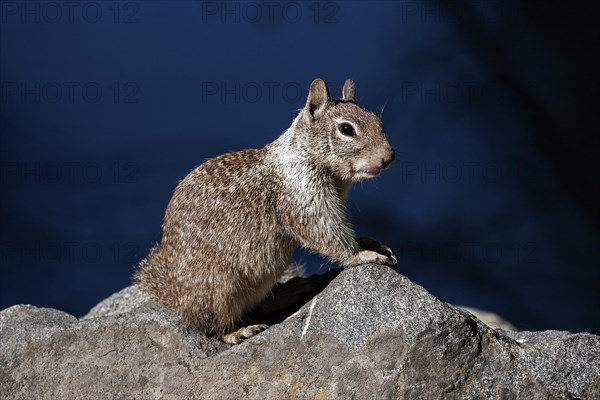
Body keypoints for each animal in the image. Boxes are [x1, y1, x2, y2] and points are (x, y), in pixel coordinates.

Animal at [137, 78, 398, 344]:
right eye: (346, 129)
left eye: (380, 123)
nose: (389, 157)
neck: (305, 154)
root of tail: (177, 300)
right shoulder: (305, 199)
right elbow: (328, 235)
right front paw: (364, 255)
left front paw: (368, 241)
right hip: (220, 288)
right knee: (213, 328)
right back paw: (238, 331)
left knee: (256, 306)